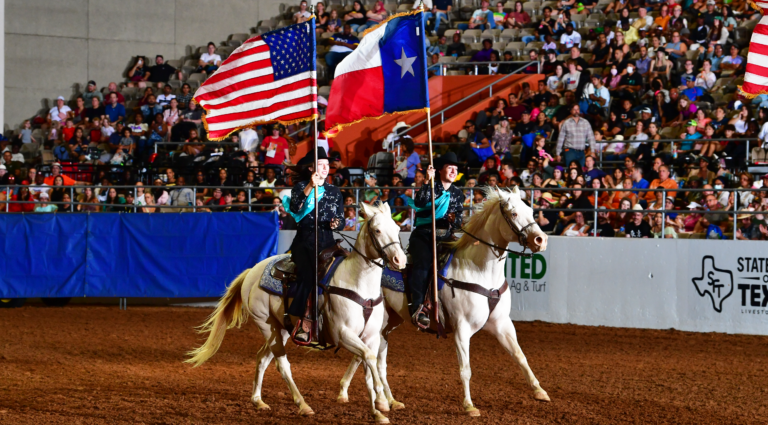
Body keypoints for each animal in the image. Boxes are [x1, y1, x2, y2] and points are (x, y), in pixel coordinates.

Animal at [187, 201, 408, 420]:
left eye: (397, 229)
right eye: (377, 230)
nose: (400, 260)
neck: (358, 285)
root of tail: (252, 271)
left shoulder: (371, 337)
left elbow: (368, 367)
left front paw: (377, 411)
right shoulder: (343, 334)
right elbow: (369, 359)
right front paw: (382, 401)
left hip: (282, 329)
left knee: (262, 358)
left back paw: (258, 401)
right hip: (266, 324)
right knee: (282, 365)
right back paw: (303, 405)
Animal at [340, 187, 548, 416]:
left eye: (530, 210)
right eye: (514, 213)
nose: (541, 239)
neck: (479, 270)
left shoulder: (502, 323)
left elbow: (520, 356)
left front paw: (539, 391)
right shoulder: (462, 328)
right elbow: (465, 369)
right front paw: (469, 405)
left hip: (388, 323)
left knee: (368, 357)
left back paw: (384, 399)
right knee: (367, 356)